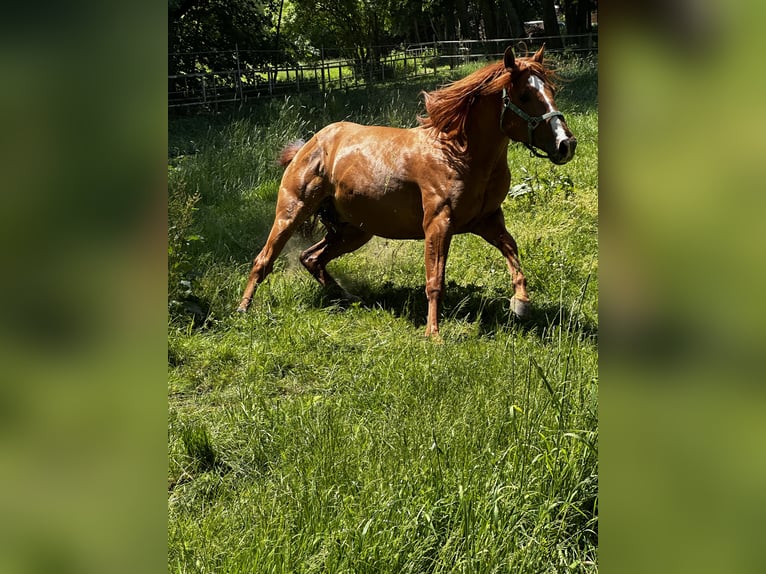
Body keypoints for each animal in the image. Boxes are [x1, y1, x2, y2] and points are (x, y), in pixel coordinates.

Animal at [237, 49, 580, 340]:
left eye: (551, 91)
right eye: (525, 95)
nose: (566, 144)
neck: (457, 154)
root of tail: (309, 144)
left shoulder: (488, 221)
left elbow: (513, 252)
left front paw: (521, 303)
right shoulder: (438, 224)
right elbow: (435, 280)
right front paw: (434, 334)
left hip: (353, 231)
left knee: (311, 257)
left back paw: (348, 297)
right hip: (291, 213)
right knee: (263, 260)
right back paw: (243, 309)